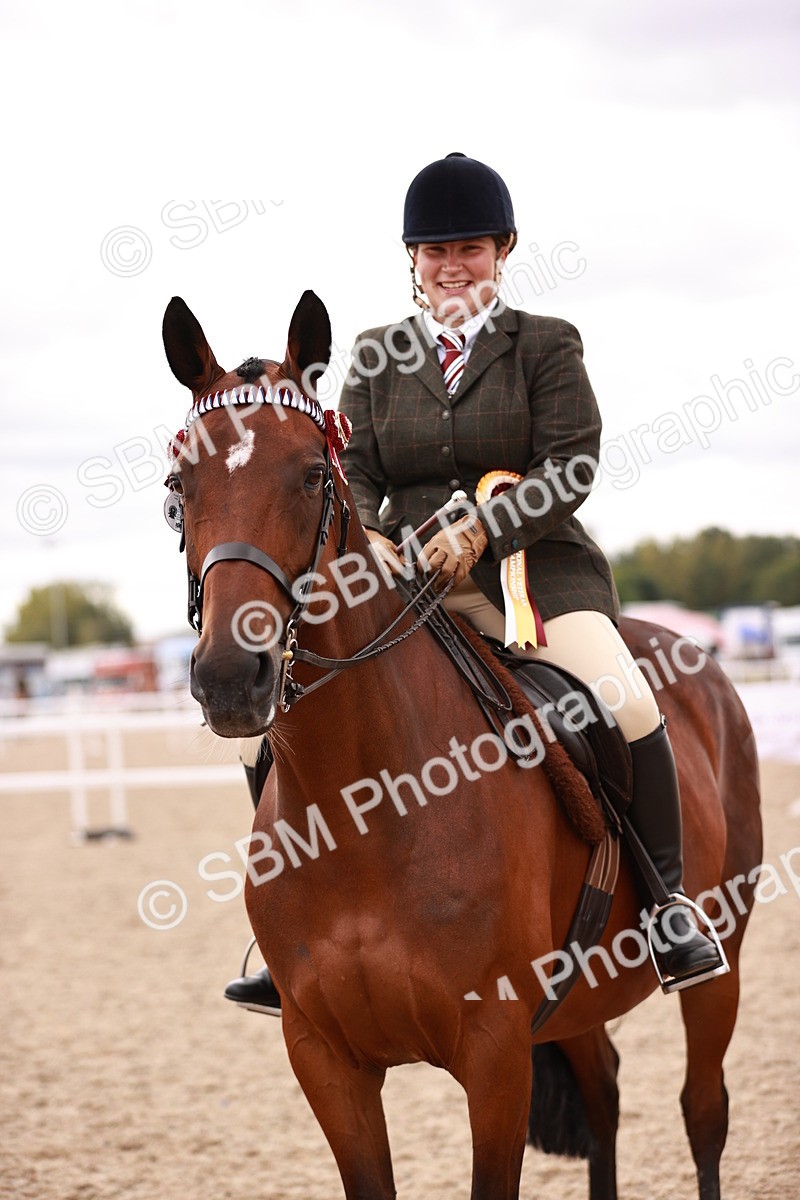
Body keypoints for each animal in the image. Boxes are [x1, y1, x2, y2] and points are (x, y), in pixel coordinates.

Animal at [161, 290, 763, 1200]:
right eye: (178, 483)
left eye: (312, 475)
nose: (231, 677)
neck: (363, 805)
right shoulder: (325, 1060)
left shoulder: (495, 1055)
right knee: (606, 1094)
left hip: (721, 950)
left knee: (704, 1109)